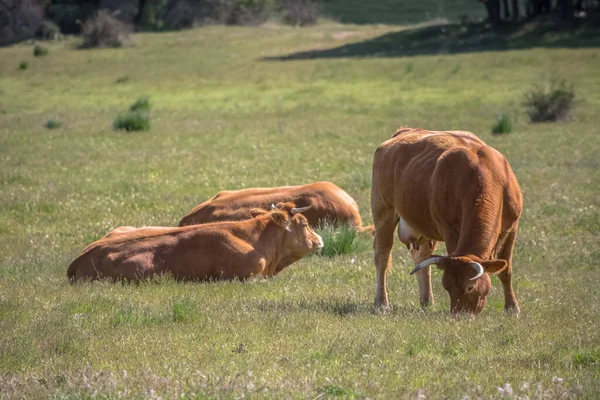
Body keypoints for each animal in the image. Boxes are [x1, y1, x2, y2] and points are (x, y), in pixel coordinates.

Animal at [372, 126, 524, 314]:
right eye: (447, 287)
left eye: (470, 287)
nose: (459, 315)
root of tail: (405, 131)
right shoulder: (449, 228)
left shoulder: (512, 228)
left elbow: (506, 270)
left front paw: (512, 307)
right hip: (383, 211)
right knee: (383, 256)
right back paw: (381, 302)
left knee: (422, 256)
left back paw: (427, 300)